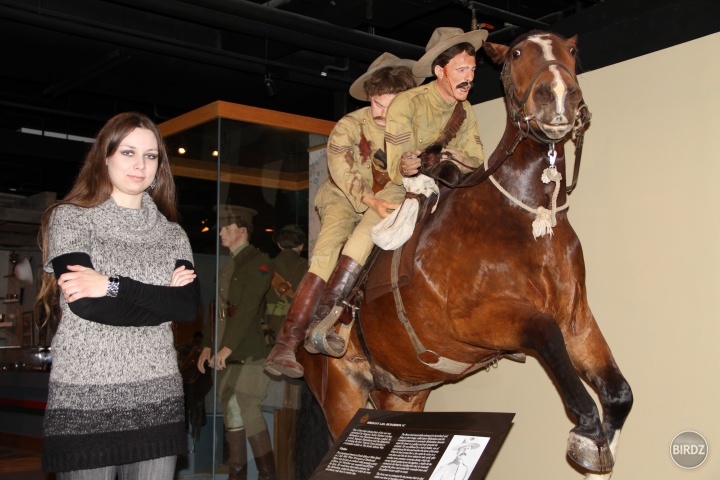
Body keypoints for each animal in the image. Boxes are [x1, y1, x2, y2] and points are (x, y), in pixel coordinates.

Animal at [298, 31, 632, 478]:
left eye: (572, 51)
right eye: (517, 53)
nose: (560, 94)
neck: (522, 217)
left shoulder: (576, 316)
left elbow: (619, 390)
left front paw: (604, 438)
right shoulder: (476, 319)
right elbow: (544, 331)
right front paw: (588, 430)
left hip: (401, 395)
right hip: (341, 395)